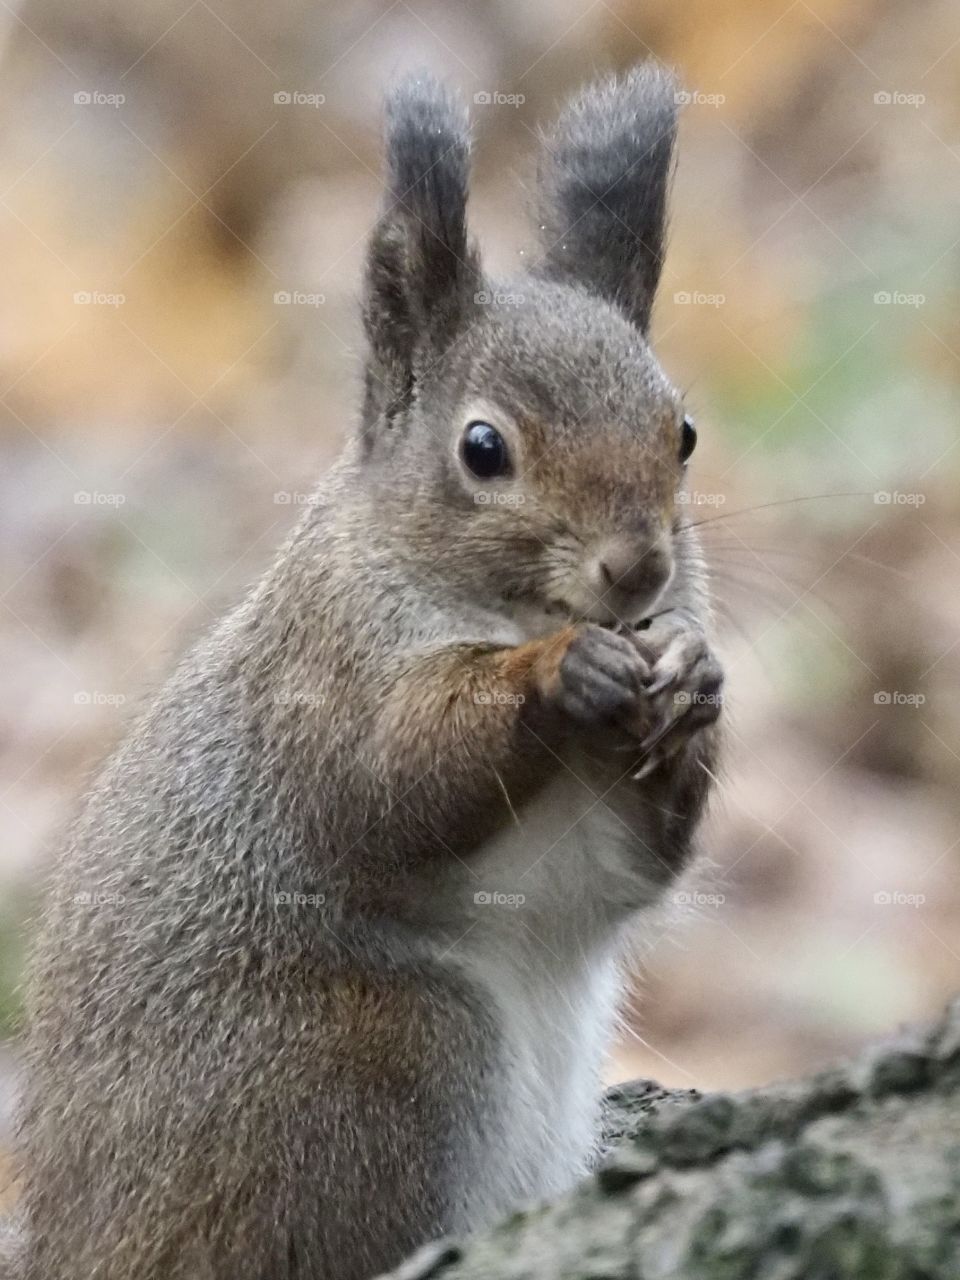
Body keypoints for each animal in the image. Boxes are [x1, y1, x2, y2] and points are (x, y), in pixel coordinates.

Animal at [14, 65, 723, 1280]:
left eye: (679, 433)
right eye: (483, 449)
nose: (638, 570)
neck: (496, 604)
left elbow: (633, 864)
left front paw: (693, 677)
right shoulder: (325, 673)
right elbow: (392, 777)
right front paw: (559, 671)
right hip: (377, 1056)